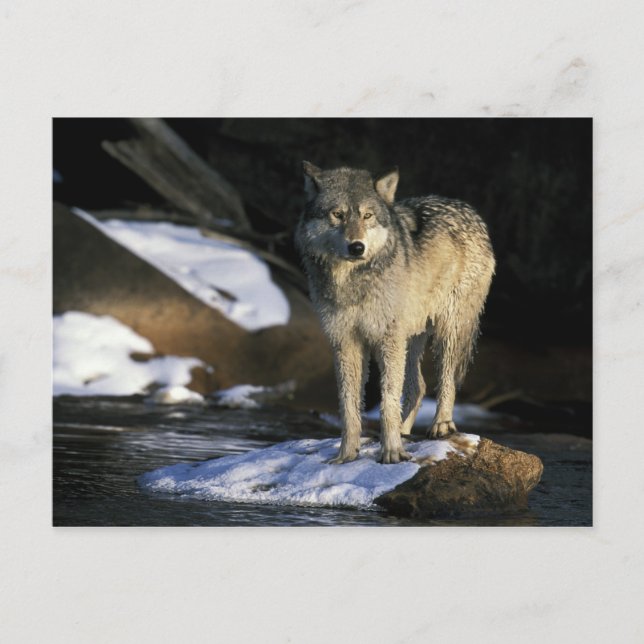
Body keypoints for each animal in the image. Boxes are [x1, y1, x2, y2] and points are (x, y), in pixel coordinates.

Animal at [295, 162, 495, 464]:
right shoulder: (345, 342)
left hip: (446, 331)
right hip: (410, 337)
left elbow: (387, 400)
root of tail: (469, 210)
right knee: (418, 386)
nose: (357, 247)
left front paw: (391, 452)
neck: (352, 283)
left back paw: (441, 425)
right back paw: (404, 431)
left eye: (367, 215)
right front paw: (347, 454)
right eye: (338, 214)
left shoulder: (387, 339)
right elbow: (349, 407)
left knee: (446, 380)